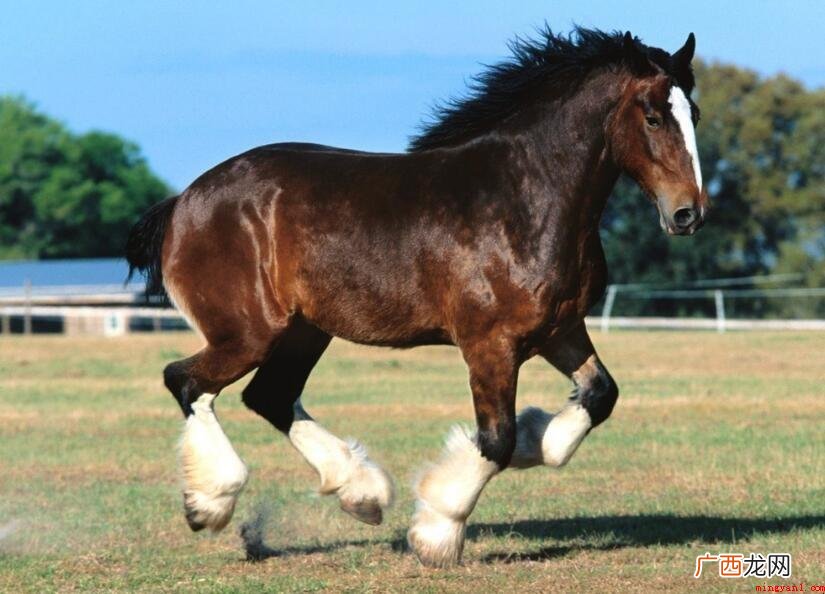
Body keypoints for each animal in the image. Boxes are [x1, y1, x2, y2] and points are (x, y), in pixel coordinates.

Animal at [126, 27, 708, 567]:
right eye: (653, 117)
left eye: (694, 113)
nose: (688, 213)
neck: (524, 200)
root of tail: (184, 202)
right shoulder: (490, 345)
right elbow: (495, 440)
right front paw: (437, 531)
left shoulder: (560, 330)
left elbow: (597, 396)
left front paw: (535, 437)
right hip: (249, 333)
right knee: (187, 381)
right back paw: (210, 503)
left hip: (303, 332)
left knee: (266, 396)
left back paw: (361, 492)